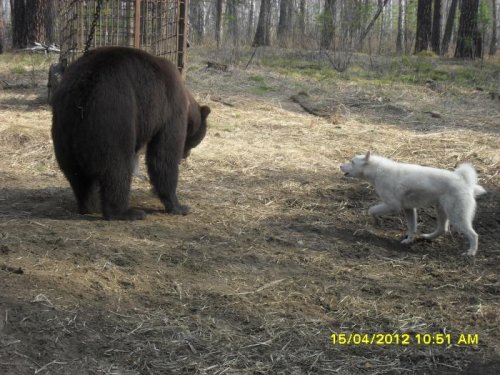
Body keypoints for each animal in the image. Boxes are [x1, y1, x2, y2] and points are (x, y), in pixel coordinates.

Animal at [49, 46, 209, 220]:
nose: (186, 155)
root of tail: (81, 94)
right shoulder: (170, 108)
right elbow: (163, 156)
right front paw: (179, 206)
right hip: (113, 118)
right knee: (116, 167)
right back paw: (127, 212)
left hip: (64, 130)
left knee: (77, 175)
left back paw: (90, 205)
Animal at [340, 152, 484, 256]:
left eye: (352, 162)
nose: (340, 165)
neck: (378, 171)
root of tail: (464, 181)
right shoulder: (409, 209)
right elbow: (412, 227)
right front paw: (409, 240)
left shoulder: (393, 206)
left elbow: (371, 210)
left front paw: (377, 221)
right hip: (442, 210)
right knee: (442, 229)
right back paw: (427, 237)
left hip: (457, 216)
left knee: (473, 235)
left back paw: (471, 253)